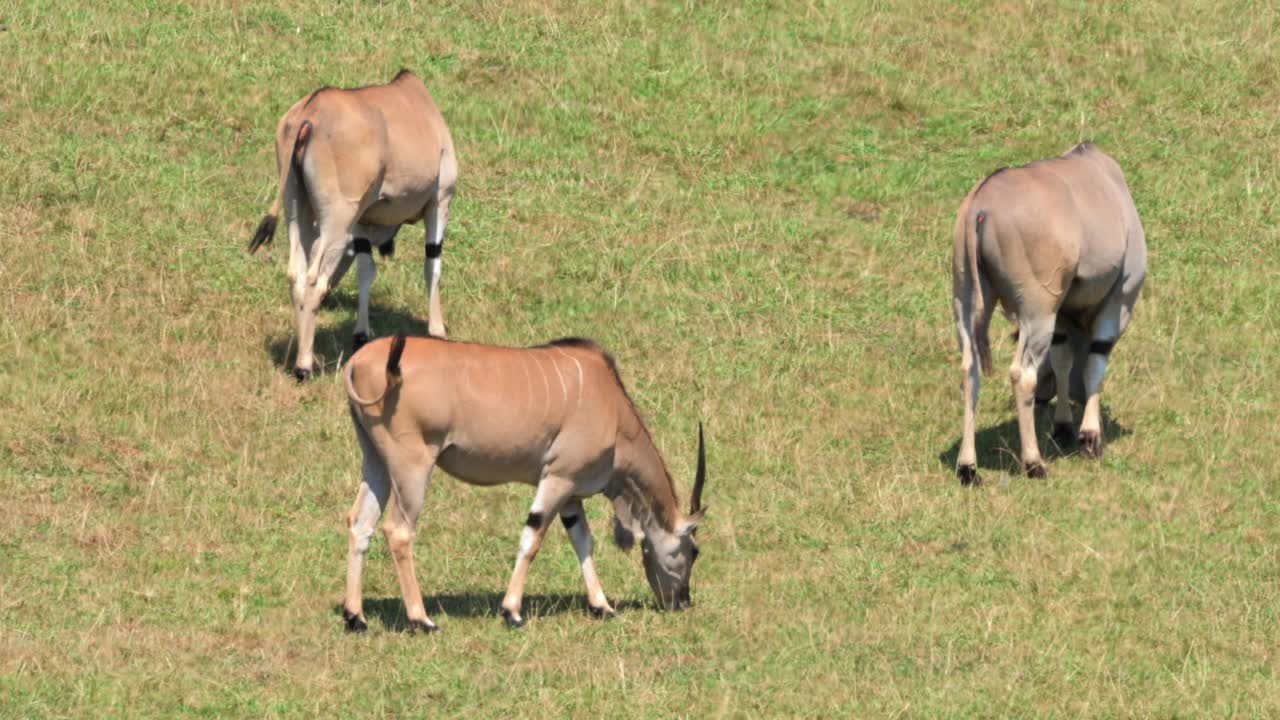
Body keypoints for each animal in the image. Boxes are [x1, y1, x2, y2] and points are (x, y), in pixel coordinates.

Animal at [245, 69, 460, 379]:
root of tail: (309, 113)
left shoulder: (361, 222)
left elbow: (365, 270)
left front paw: (361, 333)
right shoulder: (440, 201)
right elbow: (432, 266)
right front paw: (437, 330)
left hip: (297, 212)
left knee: (296, 275)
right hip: (337, 219)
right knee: (313, 281)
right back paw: (304, 366)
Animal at [340, 333, 711, 627]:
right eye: (693, 551)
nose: (682, 601)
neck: (612, 407)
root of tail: (359, 362)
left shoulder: (571, 493)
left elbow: (583, 541)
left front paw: (602, 606)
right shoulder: (557, 479)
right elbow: (533, 538)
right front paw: (512, 612)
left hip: (376, 462)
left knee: (360, 523)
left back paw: (355, 616)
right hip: (413, 467)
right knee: (399, 532)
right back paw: (421, 619)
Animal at [952, 141, 1152, 481]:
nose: (1045, 398)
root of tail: (981, 206)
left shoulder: (1061, 316)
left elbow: (1061, 360)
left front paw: (1063, 427)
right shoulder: (1118, 300)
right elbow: (1094, 362)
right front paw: (1089, 437)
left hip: (967, 304)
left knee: (970, 371)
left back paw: (968, 468)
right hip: (1037, 312)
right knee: (1022, 374)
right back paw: (1034, 463)